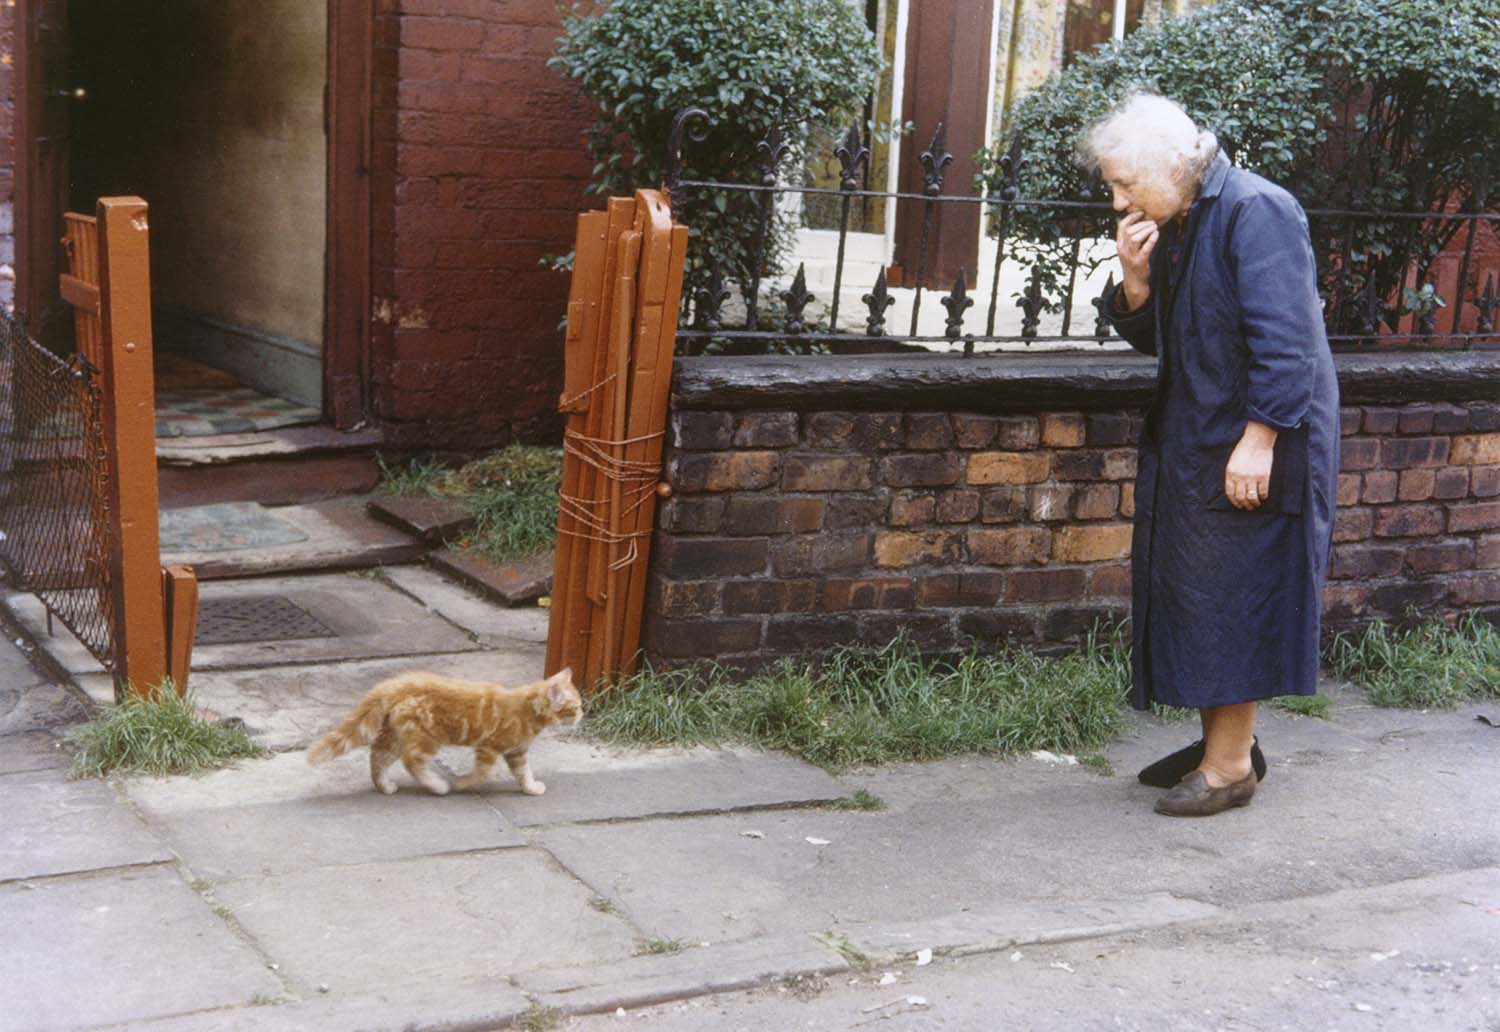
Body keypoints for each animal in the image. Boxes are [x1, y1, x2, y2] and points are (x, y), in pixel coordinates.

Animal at [304, 669, 579, 798]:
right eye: (575, 707)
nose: (581, 716)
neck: (526, 708)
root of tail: (395, 684)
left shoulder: (517, 753)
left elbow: (524, 773)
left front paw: (531, 788)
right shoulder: (489, 747)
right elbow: (482, 773)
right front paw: (462, 783)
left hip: (395, 734)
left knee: (378, 756)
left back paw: (385, 786)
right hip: (425, 736)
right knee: (412, 761)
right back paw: (437, 786)